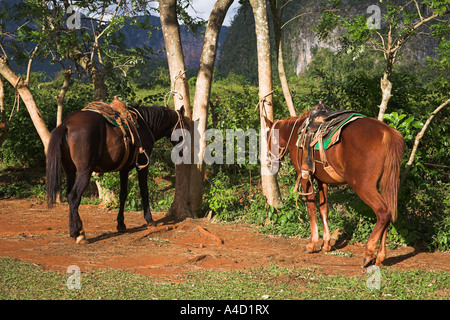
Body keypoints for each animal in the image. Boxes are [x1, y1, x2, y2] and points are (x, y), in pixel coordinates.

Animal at [45, 104, 186, 244]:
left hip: (70, 170)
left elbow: (122, 195)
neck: (145, 125)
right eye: (184, 126)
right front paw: (150, 220)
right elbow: (144, 192)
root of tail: (66, 124)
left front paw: (121, 224)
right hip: (84, 171)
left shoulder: (124, 169)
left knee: (69, 195)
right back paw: (77, 234)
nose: (185, 151)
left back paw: (78, 230)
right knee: (74, 196)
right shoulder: (142, 165)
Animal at [266, 111, 406, 266]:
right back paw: (381, 256)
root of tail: (387, 132)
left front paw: (312, 244)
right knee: (389, 214)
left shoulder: (305, 178)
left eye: (268, 138)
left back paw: (368, 253)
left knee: (383, 212)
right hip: (384, 185)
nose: (269, 163)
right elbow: (323, 209)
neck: (297, 134)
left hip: (362, 185)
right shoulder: (322, 181)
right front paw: (326, 243)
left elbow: (311, 209)